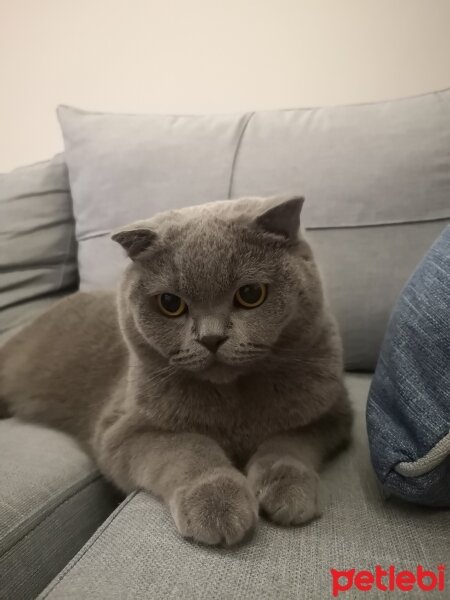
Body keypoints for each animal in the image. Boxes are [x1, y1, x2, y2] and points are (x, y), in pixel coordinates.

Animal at [0, 196, 352, 544]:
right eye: (170, 303)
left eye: (251, 294)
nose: (211, 338)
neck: (234, 401)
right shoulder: (124, 431)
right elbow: (188, 447)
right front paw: (217, 503)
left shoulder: (330, 414)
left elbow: (286, 442)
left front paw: (289, 489)